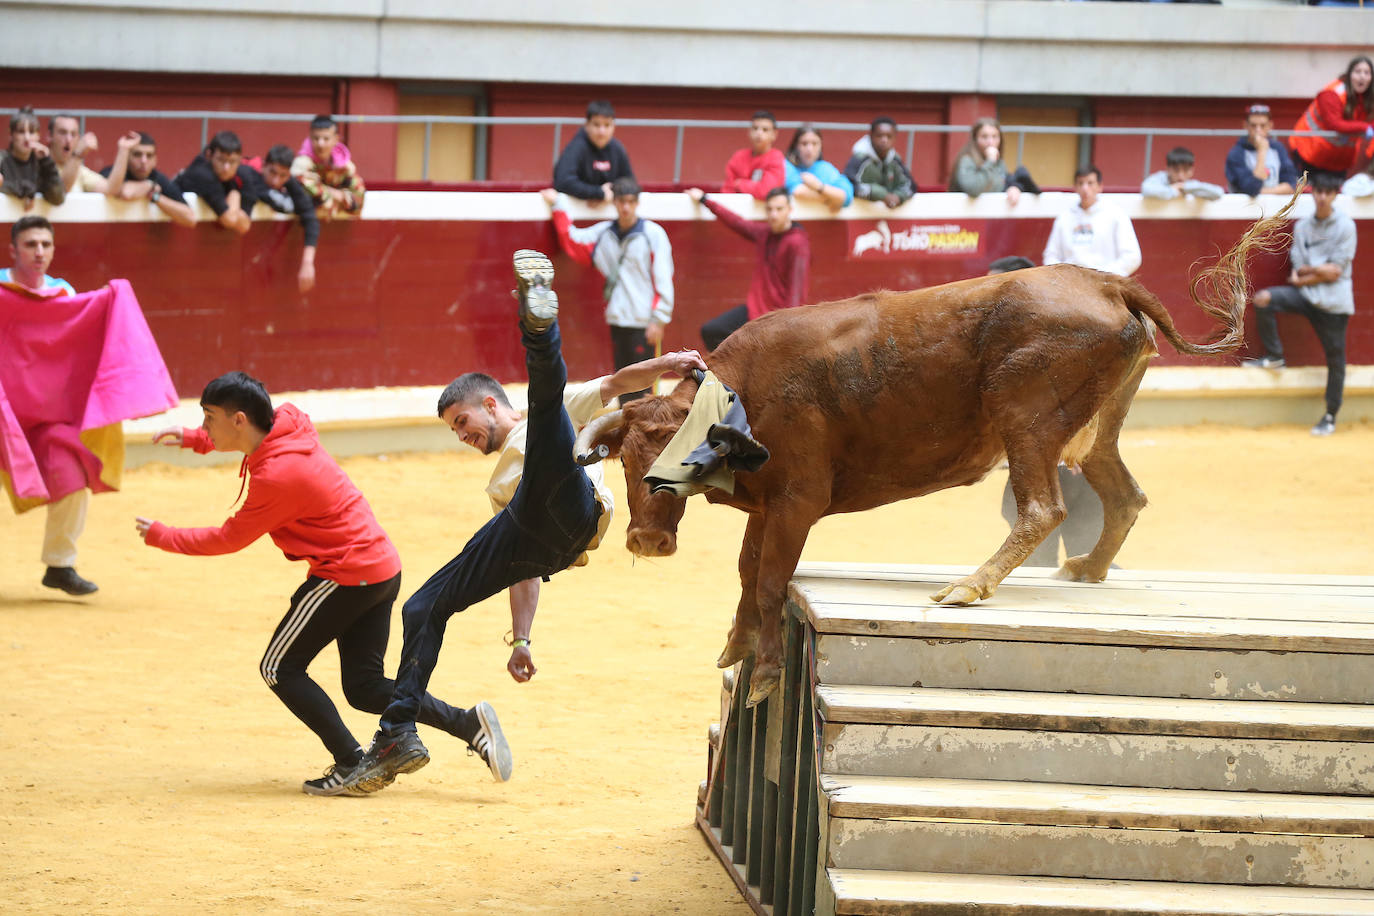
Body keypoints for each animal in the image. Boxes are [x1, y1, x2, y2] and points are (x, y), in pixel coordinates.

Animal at [579, 199, 1297, 703]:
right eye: (627, 461)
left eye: (681, 458)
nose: (647, 541)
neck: (744, 394)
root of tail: (1104, 283)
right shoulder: (771, 506)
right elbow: (747, 574)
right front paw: (736, 647)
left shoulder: (797, 501)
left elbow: (768, 581)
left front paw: (762, 676)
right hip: (1098, 428)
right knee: (1123, 495)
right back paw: (1086, 570)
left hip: (1026, 418)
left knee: (1045, 507)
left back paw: (969, 586)